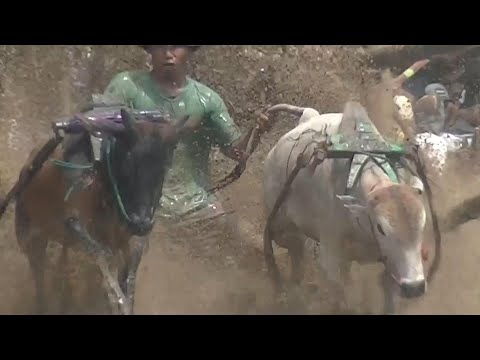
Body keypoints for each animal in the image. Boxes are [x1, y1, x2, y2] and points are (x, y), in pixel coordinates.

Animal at [8, 109, 193, 316]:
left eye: (165, 166)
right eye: (129, 161)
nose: (140, 222)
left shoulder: (130, 240)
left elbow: (127, 278)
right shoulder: (76, 225)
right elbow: (104, 265)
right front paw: (115, 300)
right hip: (31, 234)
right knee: (39, 275)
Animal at [262, 100, 428, 312]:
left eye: (422, 224)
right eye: (381, 228)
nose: (414, 287)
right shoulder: (330, 257)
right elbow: (340, 296)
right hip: (282, 227)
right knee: (293, 256)